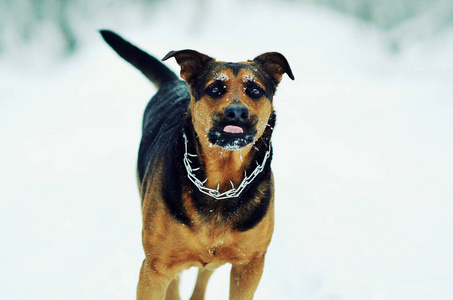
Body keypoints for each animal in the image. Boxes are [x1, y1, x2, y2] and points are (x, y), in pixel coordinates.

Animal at [100, 31, 294, 300]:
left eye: (255, 90)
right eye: (215, 88)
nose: (236, 112)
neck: (221, 184)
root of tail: (175, 83)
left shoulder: (250, 264)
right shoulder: (155, 268)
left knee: (205, 272)